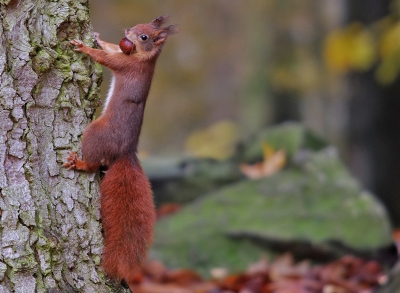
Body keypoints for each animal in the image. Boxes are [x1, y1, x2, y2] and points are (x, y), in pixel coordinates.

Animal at [64, 15, 175, 288]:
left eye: (144, 37)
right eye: (139, 25)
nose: (127, 31)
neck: (141, 57)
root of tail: (126, 150)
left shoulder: (126, 65)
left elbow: (106, 58)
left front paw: (83, 47)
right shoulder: (122, 54)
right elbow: (111, 49)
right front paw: (98, 38)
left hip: (96, 132)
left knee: (93, 164)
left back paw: (80, 163)